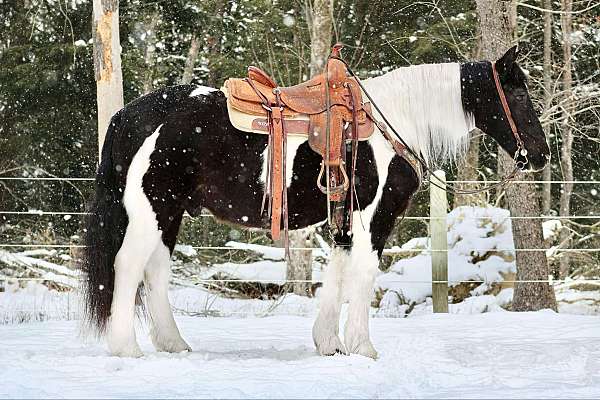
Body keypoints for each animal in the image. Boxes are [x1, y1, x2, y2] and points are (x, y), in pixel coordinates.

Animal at [83, 45, 548, 358]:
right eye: (520, 95)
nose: (541, 155)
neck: (391, 123)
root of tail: (129, 115)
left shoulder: (344, 220)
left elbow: (337, 274)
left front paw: (329, 343)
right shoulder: (373, 218)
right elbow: (362, 274)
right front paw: (363, 347)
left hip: (170, 213)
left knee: (155, 271)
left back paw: (173, 343)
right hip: (152, 210)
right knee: (128, 266)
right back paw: (126, 348)